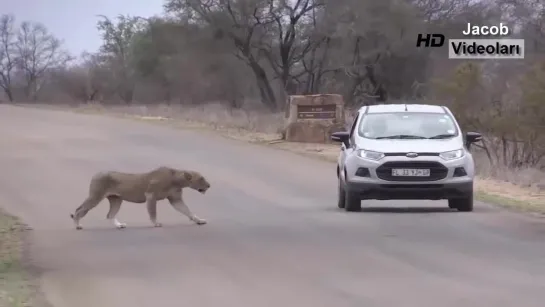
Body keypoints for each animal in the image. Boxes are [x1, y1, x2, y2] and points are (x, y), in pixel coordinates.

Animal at [70, 167, 210, 230]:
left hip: (116, 199)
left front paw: (199, 220)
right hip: (96, 196)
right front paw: (156, 223)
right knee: (79, 209)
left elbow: (187, 211)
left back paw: (119, 225)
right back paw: (77, 225)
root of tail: (96, 173)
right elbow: (153, 212)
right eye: (201, 178)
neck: (176, 180)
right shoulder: (151, 195)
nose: (209, 185)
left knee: (110, 214)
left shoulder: (176, 199)